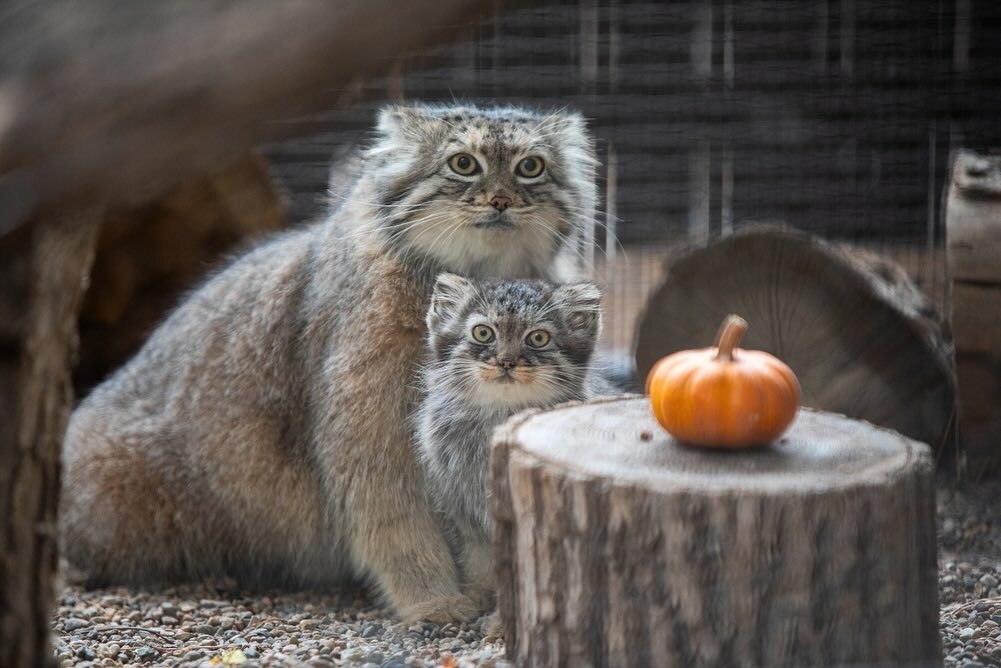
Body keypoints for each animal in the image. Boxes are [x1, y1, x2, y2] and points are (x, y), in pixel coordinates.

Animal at [416, 274, 608, 608]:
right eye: (483, 333)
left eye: (538, 338)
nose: (506, 361)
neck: (500, 418)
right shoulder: (462, 507)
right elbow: (478, 558)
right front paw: (478, 593)